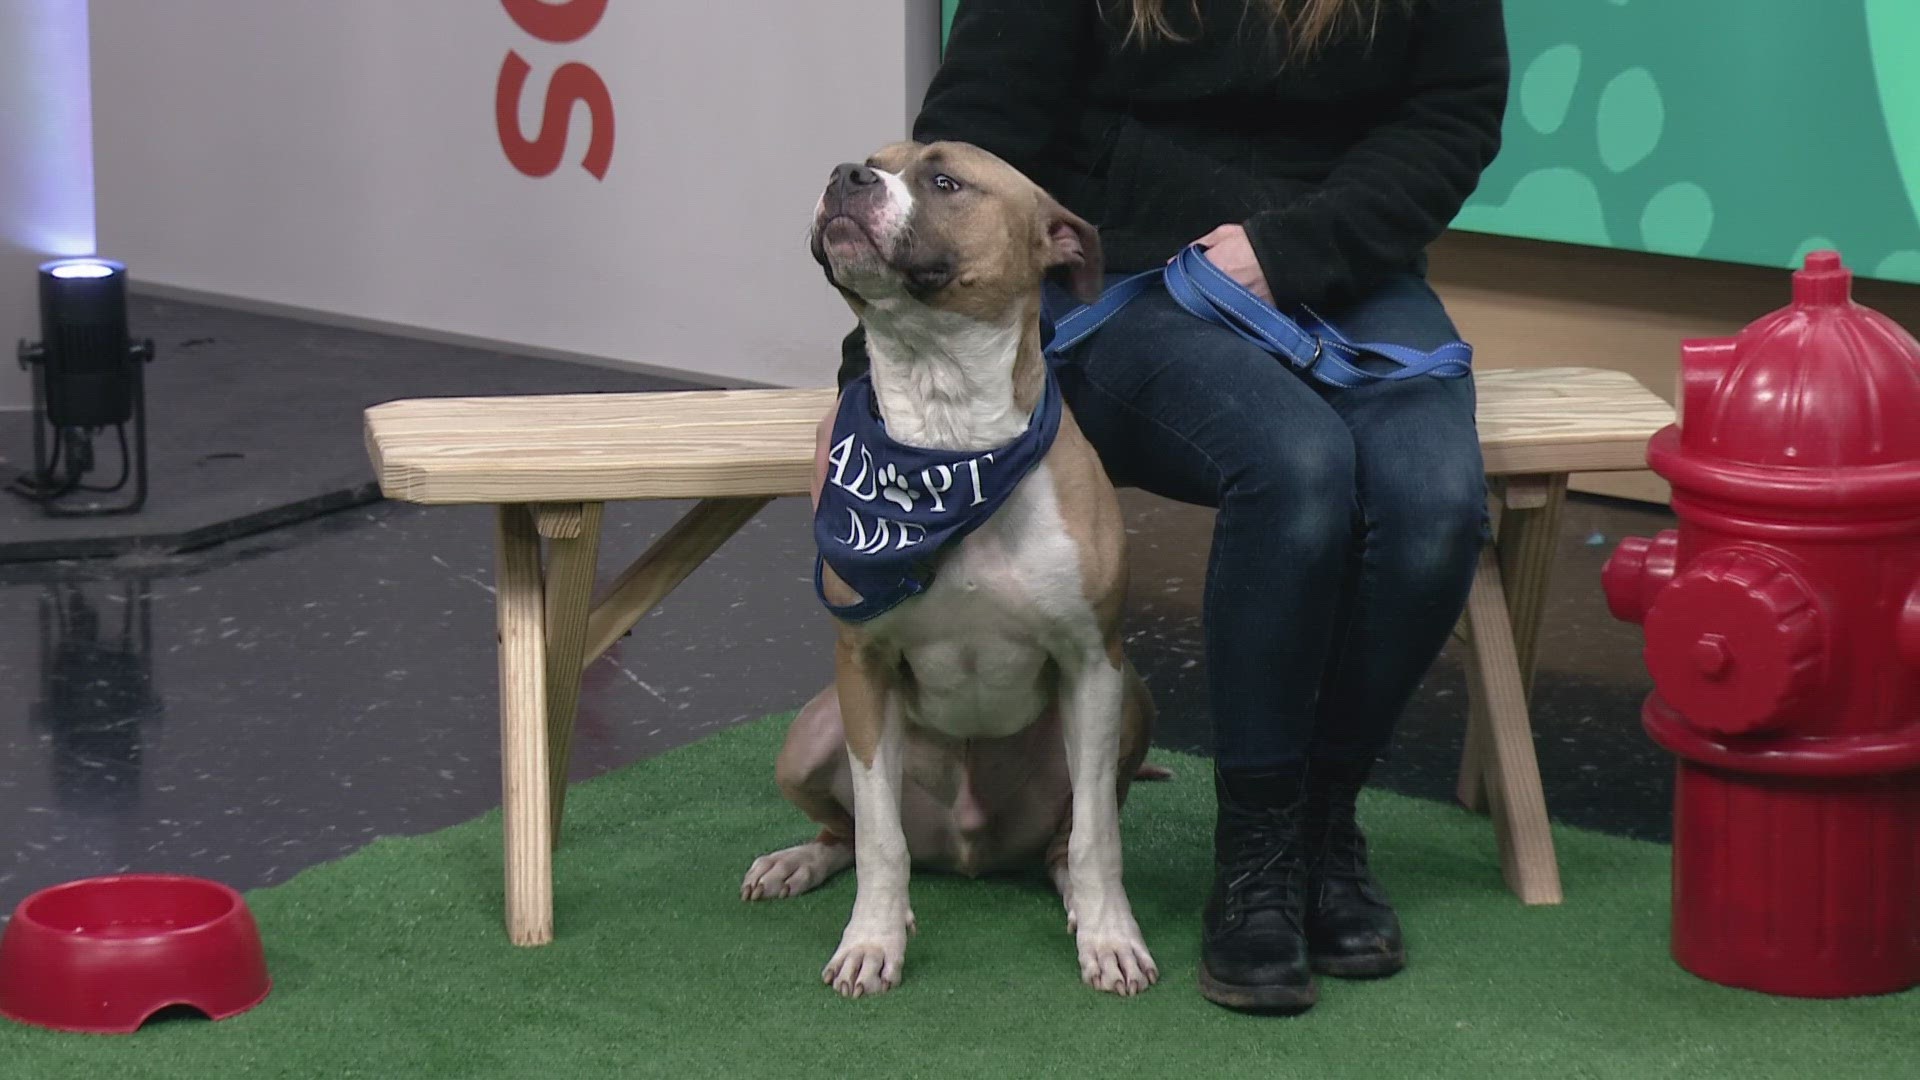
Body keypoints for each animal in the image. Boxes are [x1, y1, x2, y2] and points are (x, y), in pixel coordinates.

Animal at [733, 138, 1152, 999]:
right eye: (867, 161)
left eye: (946, 180)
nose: (844, 178)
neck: (948, 438)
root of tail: (969, 850)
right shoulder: (863, 663)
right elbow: (878, 837)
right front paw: (872, 939)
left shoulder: (1092, 661)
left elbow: (1100, 836)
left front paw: (1111, 936)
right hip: (809, 736)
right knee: (845, 831)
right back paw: (798, 862)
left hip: (1129, 701)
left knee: (1066, 839)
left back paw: (1073, 895)